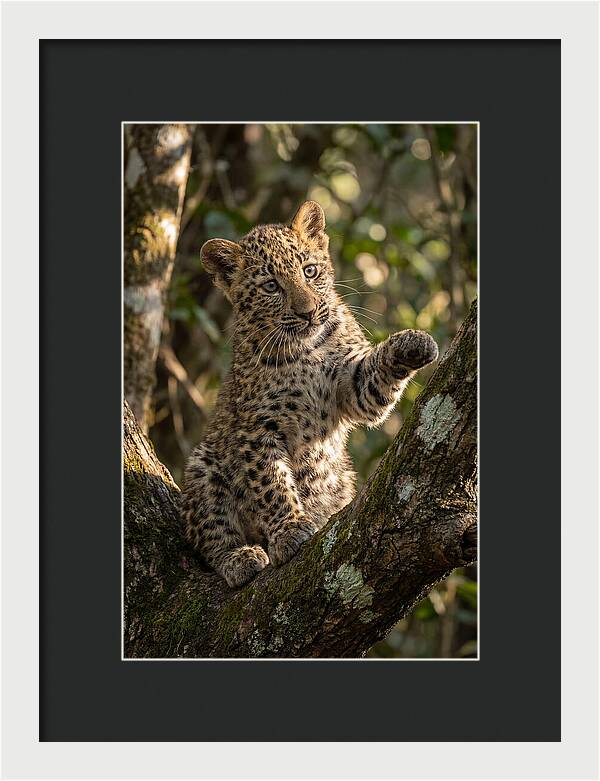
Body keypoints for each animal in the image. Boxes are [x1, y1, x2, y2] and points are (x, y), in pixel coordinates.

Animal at [181, 201, 438, 588]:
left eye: (310, 270)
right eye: (271, 286)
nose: (307, 313)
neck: (306, 350)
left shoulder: (352, 388)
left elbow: (372, 380)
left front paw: (413, 343)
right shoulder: (257, 429)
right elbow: (271, 483)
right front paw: (289, 530)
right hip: (204, 465)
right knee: (209, 536)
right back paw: (240, 557)